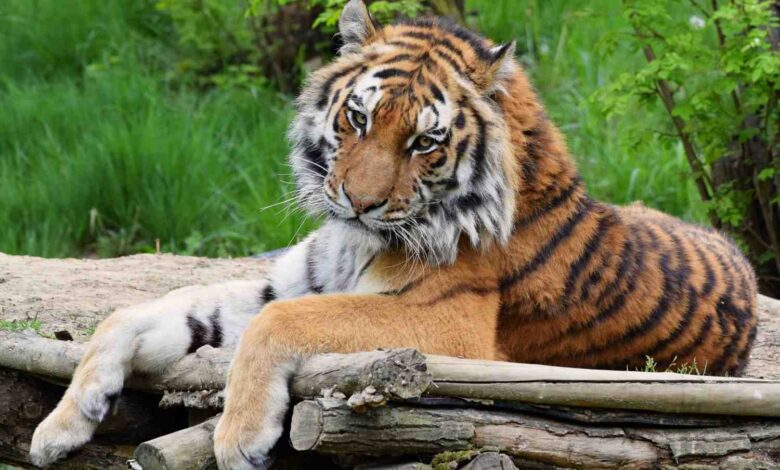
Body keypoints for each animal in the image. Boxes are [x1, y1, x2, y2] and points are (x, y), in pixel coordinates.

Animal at [30, 1, 758, 468]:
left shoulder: (447, 328)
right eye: (358, 118)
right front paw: (62, 423)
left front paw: (239, 436)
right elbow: (136, 311)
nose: (359, 201)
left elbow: (282, 323)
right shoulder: (287, 281)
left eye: (424, 142)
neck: (357, 239)